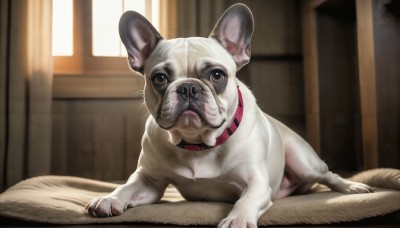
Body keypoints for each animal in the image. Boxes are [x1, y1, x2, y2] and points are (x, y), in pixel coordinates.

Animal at [86, 3, 374, 228]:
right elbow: (127, 187)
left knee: (328, 175)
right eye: (159, 78)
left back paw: (353, 187)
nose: (188, 87)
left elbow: (246, 199)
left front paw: (238, 218)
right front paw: (109, 198)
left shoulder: (257, 183)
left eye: (217, 75)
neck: (198, 143)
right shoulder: (149, 181)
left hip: (303, 160)